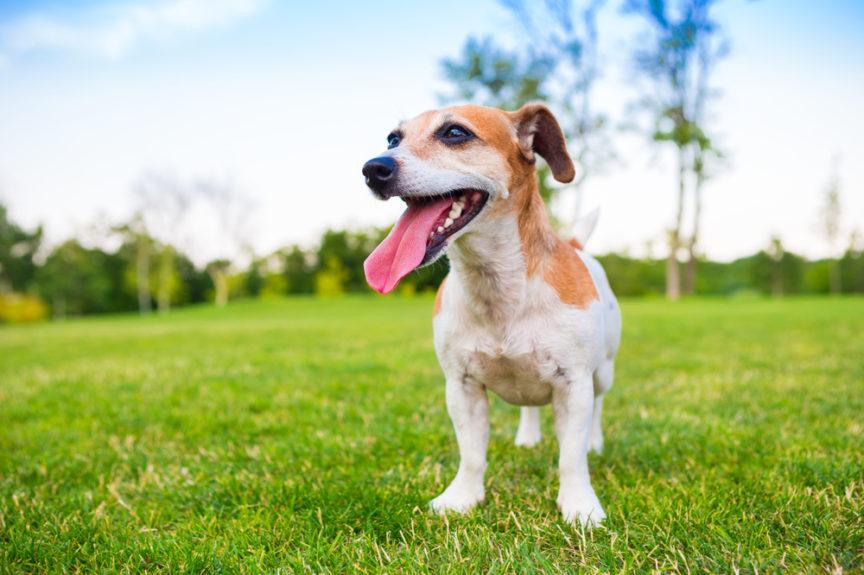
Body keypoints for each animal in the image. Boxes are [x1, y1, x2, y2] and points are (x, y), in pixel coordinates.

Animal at [362, 102, 616, 528]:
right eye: (393, 139)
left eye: (455, 133)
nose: (373, 168)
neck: (498, 286)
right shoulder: (461, 387)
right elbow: (471, 455)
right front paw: (462, 498)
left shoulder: (574, 384)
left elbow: (571, 458)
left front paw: (580, 505)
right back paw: (527, 438)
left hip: (603, 373)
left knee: (598, 409)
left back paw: (595, 444)